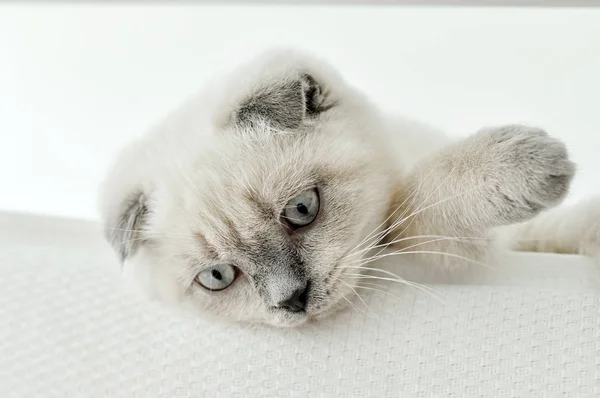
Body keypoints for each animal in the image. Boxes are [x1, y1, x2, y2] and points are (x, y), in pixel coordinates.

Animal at [98, 49, 596, 326]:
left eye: (301, 209)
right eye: (218, 278)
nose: (292, 300)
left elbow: (557, 227)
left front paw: (547, 166)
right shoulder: (425, 254)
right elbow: (412, 206)